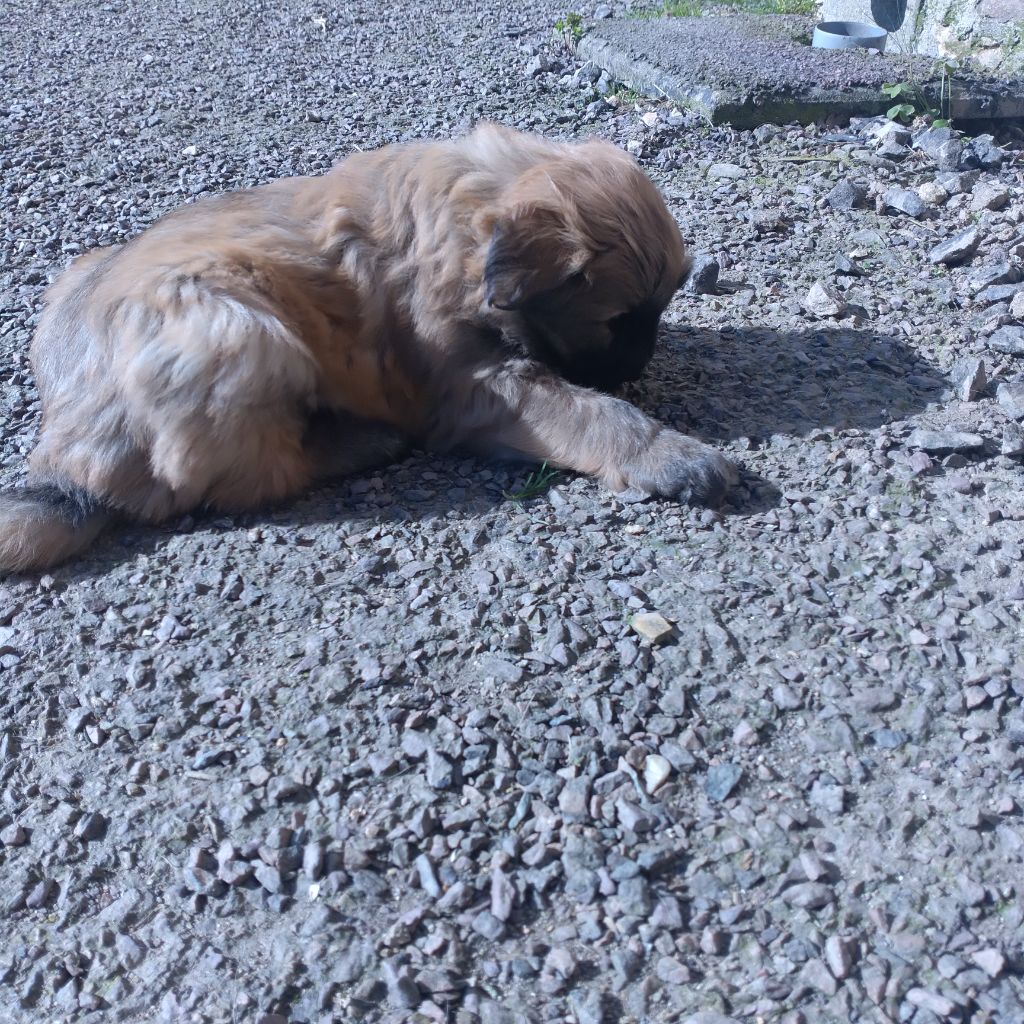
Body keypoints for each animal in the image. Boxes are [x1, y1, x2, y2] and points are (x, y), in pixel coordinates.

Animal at [0, 121, 737, 569]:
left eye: (660, 309)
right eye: (617, 321)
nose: (640, 367)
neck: (469, 224)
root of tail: (68, 463)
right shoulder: (476, 387)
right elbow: (591, 414)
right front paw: (673, 455)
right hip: (233, 325)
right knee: (241, 478)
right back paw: (360, 441)